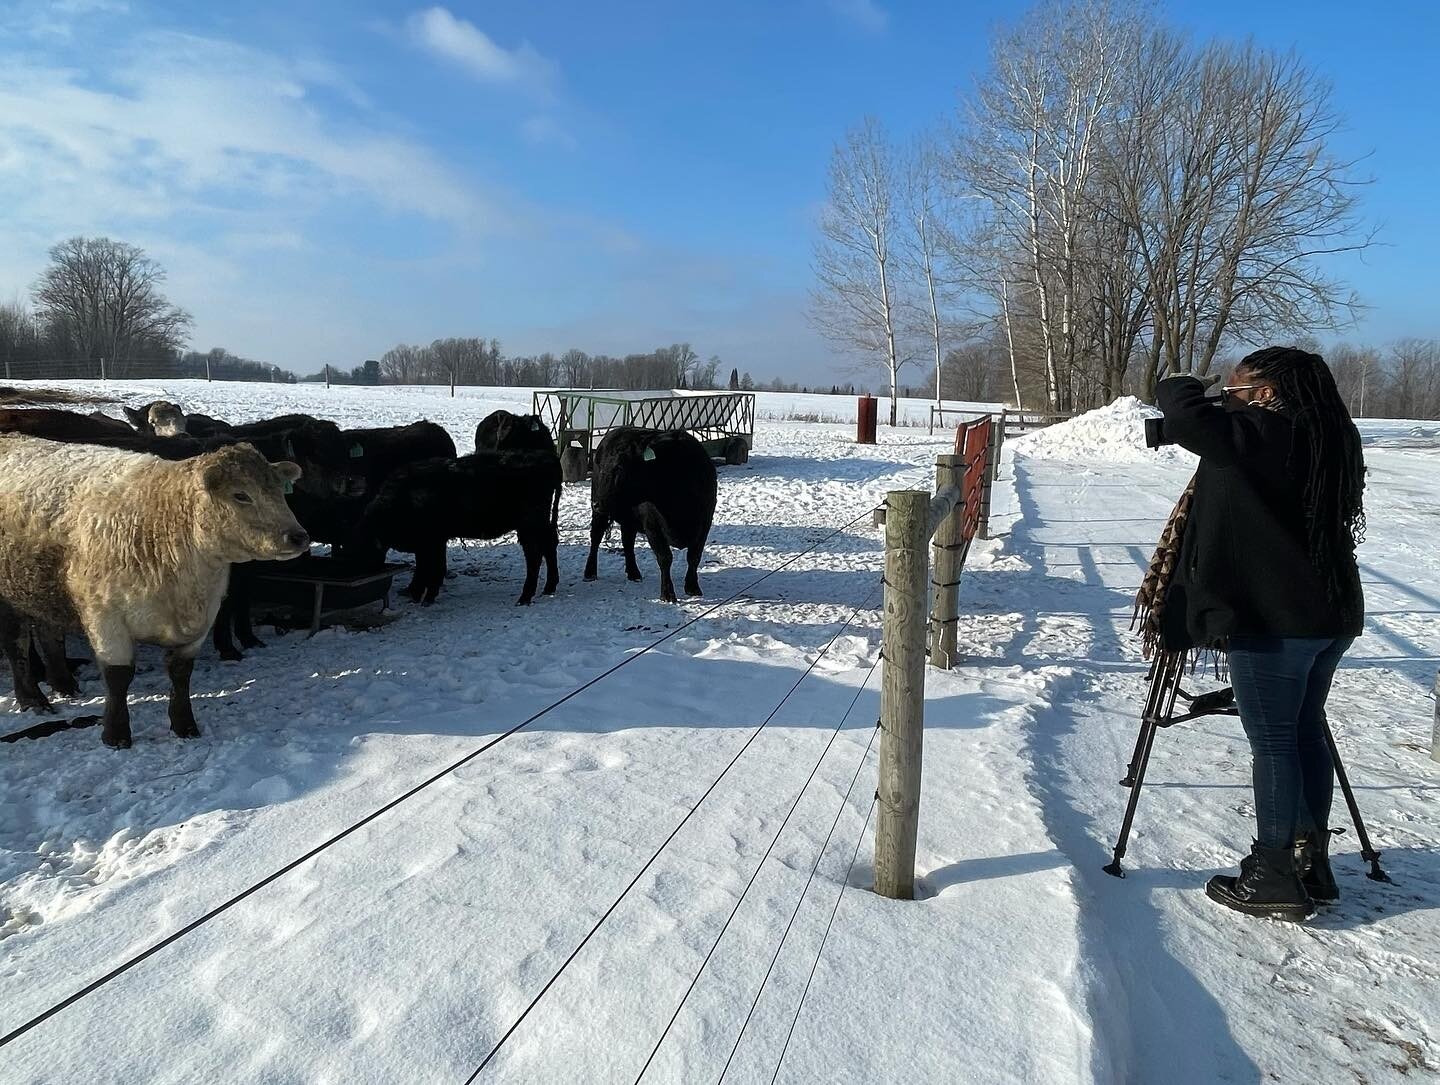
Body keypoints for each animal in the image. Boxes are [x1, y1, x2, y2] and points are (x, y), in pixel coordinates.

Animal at [357, 446, 558, 605]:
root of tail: (548, 459)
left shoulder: (430, 541)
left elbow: (429, 567)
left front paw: (423, 596)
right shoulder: (434, 541)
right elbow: (429, 566)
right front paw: (418, 593)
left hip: (529, 525)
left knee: (534, 555)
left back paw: (524, 597)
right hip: (538, 524)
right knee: (548, 546)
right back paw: (549, 588)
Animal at [581, 429, 717, 602]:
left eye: (620, 468)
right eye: (604, 468)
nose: (596, 503)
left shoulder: (705, 523)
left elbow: (694, 556)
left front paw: (693, 587)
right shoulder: (652, 526)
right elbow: (665, 558)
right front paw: (667, 594)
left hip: (628, 517)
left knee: (627, 542)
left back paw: (634, 573)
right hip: (601, 513)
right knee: (596, 537)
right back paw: (590, 572)